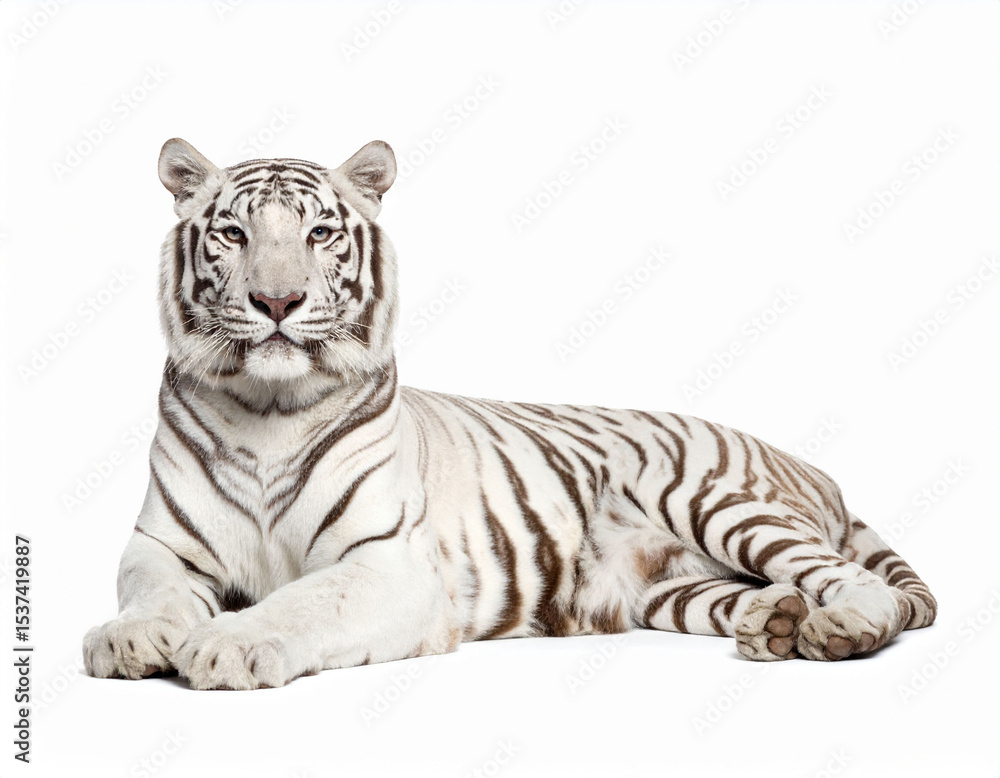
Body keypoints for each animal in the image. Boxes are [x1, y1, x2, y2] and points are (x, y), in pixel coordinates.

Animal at [82, 138, 937, 690]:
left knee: (865, 583)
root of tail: (814, 468)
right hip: (676, 591)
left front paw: (226, 644)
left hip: (713, 499)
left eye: (320, 233)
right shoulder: (162, 545)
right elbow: (150, 591)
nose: (278, 300)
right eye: (233, 233)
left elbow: (302, 599)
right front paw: (129, 638)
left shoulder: (387, 562)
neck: (270, 406)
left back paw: (837, 628)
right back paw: (778, 622)